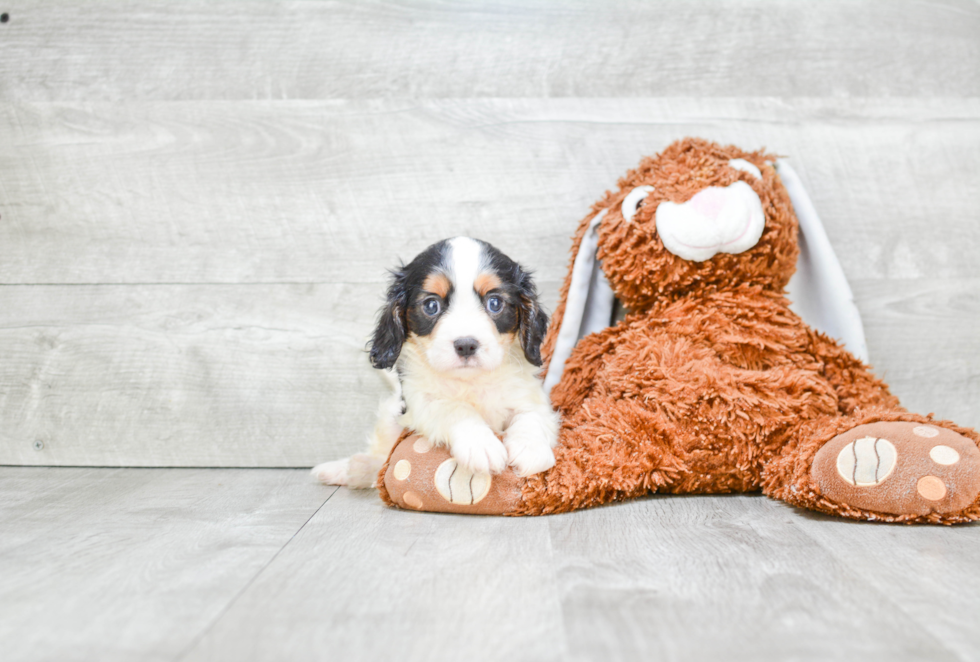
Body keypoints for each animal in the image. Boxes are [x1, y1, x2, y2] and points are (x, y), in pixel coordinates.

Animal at [314, 237, 560, 488]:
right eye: (432, 306)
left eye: (495, 303)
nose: (466, 345)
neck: (470, 381)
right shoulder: (420, 401)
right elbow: (454, 408)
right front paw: (480, 444)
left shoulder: (528, 394)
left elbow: (531, 415)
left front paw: (530, 447)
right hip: (390, 417)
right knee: (381, 459)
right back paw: (350, 468)